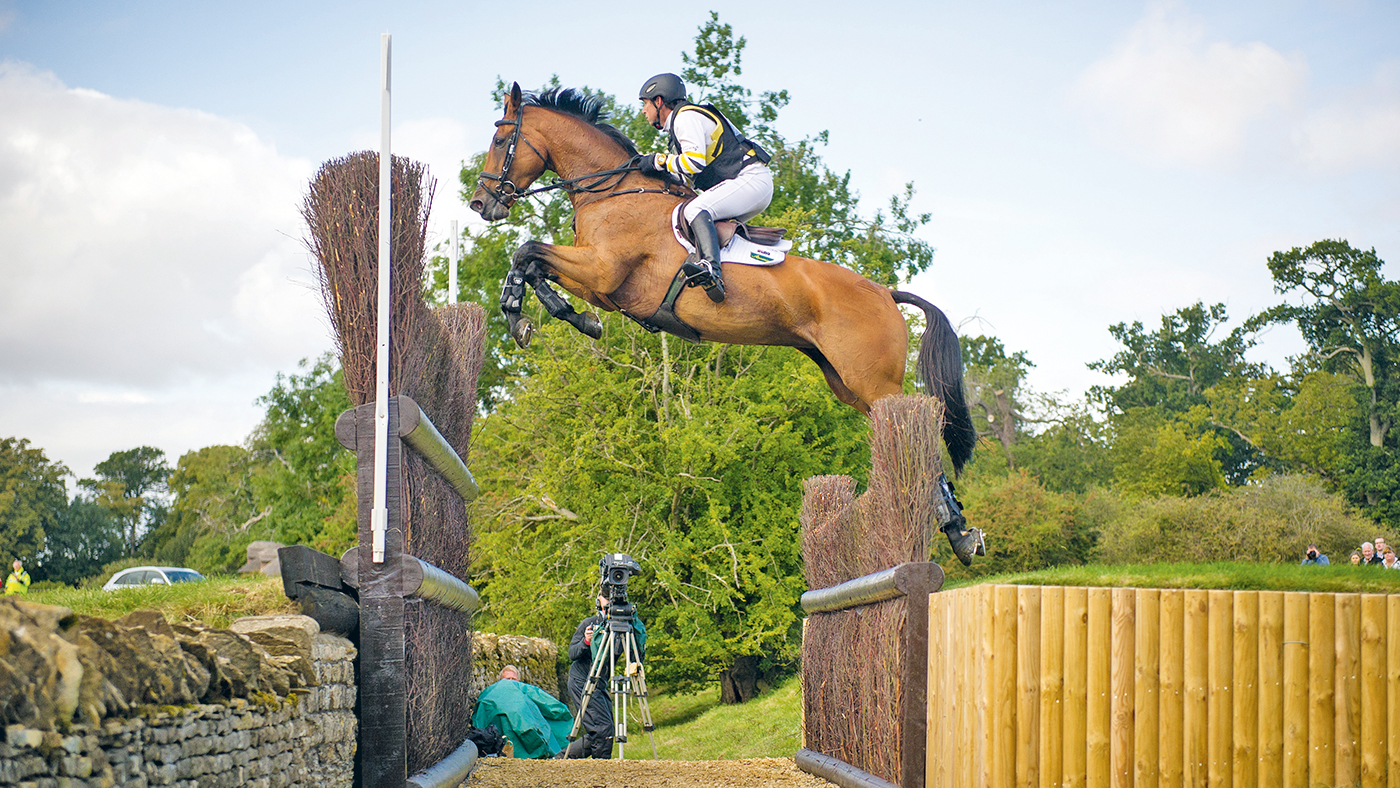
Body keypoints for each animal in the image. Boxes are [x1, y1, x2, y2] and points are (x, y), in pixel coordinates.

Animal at [468, 83, 983, 564]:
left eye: (499, 139)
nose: (481, 204)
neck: (611, 192)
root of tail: (884, 293)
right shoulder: (601, 286)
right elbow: (533, 264)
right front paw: (562, 319)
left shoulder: (602, 272)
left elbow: (527, 251)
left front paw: (518, 315)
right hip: (847, 384)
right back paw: (956, 530)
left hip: (873, 383)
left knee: (923, 439)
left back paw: (956, 530)